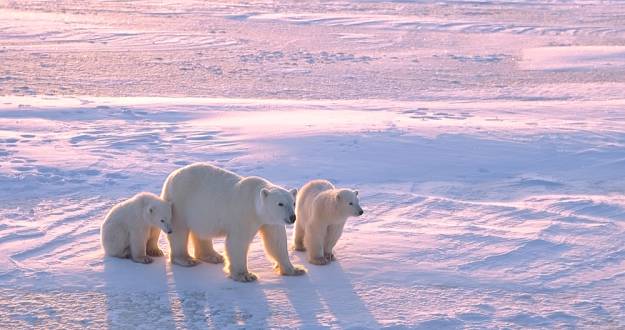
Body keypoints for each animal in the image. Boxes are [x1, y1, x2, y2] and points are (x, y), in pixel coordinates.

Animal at [160, 162, 306, 282]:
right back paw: (186, 259)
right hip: (180, 202)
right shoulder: (244, 215)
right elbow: (237, 242)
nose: (292, 217)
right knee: (179, 231)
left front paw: (295, 270)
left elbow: (276, 242)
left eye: (293, 202)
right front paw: (245, 275)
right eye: (280, 204)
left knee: (202, 232)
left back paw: (213, 256)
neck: (255, 203)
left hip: (200, 211)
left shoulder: (270, 221)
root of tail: (171, 176)